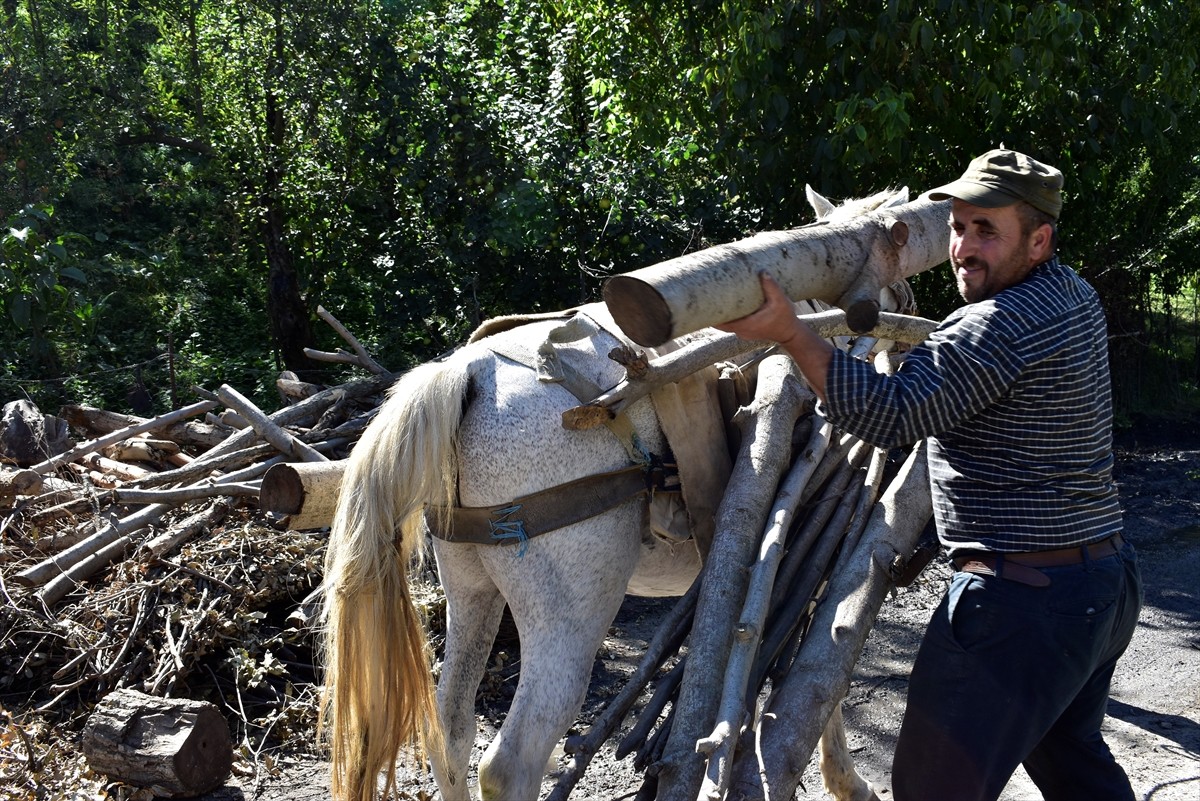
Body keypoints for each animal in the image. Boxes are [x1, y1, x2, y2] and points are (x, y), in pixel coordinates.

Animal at [316, 189, 902, 801]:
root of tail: (467, 374)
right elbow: (817, 670)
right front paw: (847, 779)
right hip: (570, 617)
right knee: (508, 762)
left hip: (471, 589)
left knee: (449, 727)